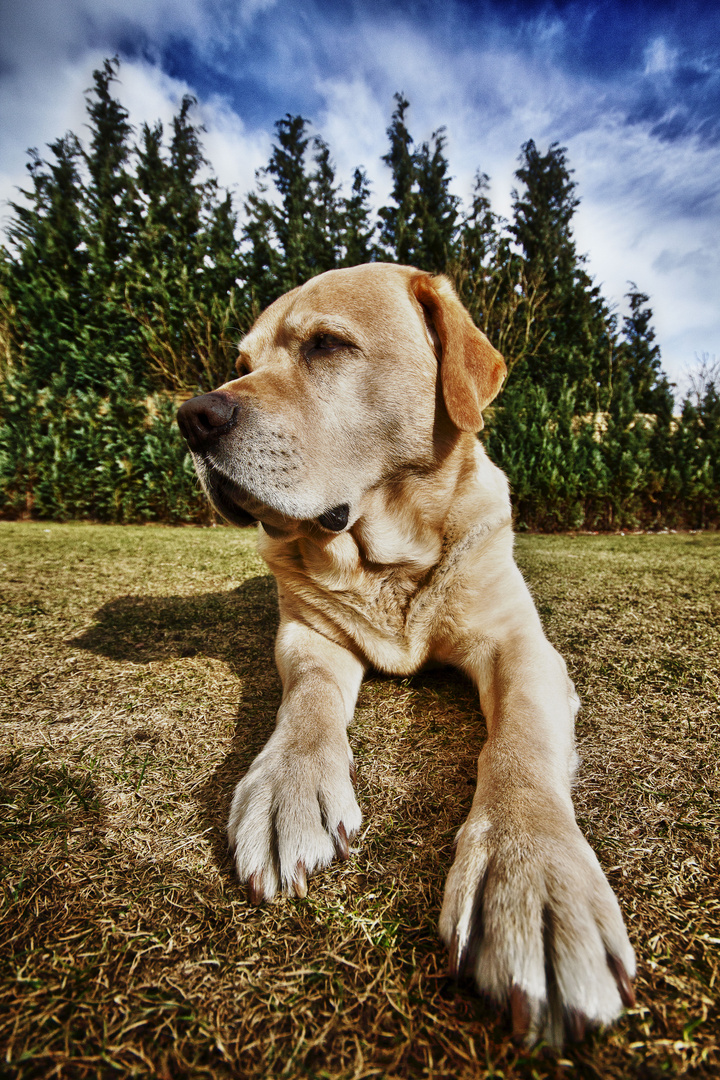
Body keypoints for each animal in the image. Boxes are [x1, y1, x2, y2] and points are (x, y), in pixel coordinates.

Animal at [175, 261, 634, 1045]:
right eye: (242, 363)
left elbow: (517, 742)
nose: (194, 416)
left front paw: (532, 876)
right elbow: (307, 703)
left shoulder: (520, 644)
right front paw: (289, 787)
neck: (384, 555)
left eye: (326, 344)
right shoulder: (308, 635)